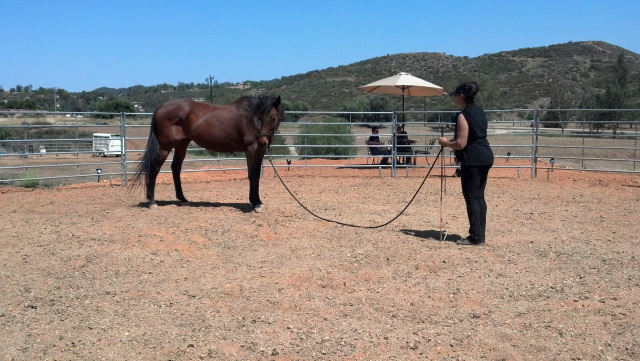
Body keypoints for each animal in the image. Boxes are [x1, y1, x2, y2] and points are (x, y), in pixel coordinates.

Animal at [131, 94, 284, 211]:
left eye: (273, 118)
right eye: (260, 117)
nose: (263, 141)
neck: (249, 117)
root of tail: (162, 107)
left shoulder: (260, 150)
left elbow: (256, 174)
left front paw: (257, 202)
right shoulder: (251, 149)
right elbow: (252, 175)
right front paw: (256, 203)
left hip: (182, 143)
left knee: (175, 167)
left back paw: (183, 199)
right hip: (165, 146)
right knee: (154, 168)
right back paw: (152, 202)